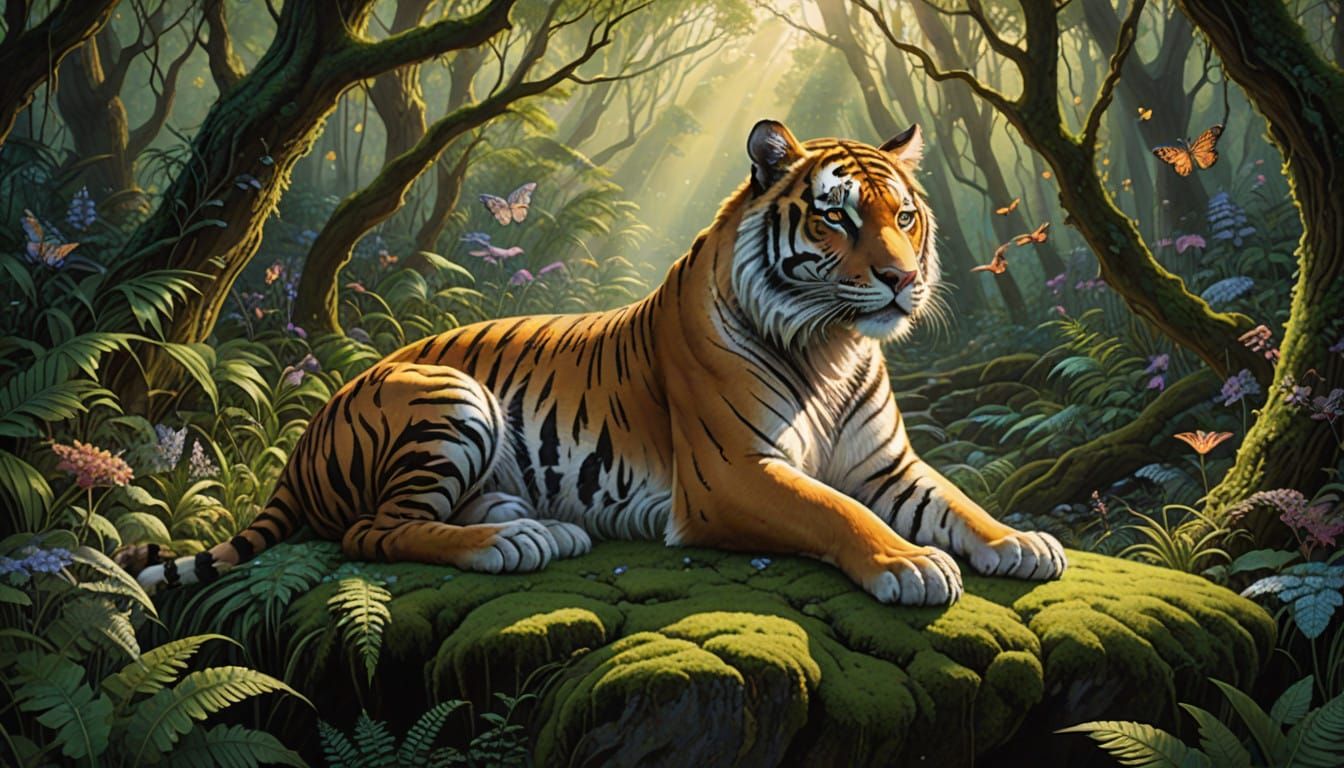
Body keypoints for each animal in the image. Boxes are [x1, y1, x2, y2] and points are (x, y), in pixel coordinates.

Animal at [121, 120, 1065, 606]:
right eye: (837, 216)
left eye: (905, 215)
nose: (904, 280)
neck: (831, 344)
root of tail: (310, 427)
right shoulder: (733, 475)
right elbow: (835, 512)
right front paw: (908, 564)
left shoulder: (888, 465)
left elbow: (959, 503)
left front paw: (1021, 543)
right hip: (448, 395)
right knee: (373, 531)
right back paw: (509, 544)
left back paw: (541, 528)